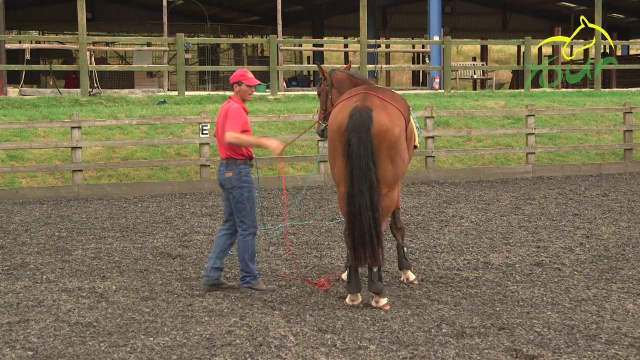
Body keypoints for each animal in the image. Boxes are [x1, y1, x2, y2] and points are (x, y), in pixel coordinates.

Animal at [316, 62, 420, 310]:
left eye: (318, 92)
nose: (320, 129)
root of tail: (363, 105)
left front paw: (346, 271)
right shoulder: (397, 185)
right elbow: (397, 226)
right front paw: (406, 269)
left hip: (344, 188)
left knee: (350, 230)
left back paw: (353, 289)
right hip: (387, 189)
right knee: (377, 230)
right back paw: (377, 291)